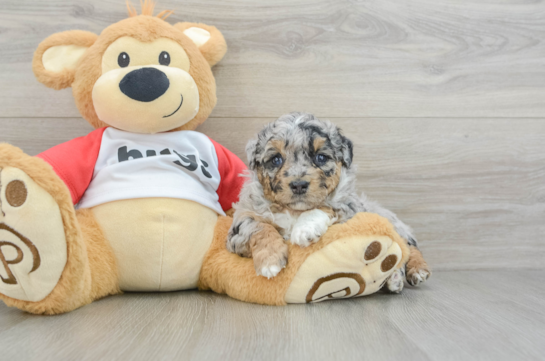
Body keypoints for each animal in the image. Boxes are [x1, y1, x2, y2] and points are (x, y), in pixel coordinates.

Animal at [225, 112, 430, 292]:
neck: (295, 211)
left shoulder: (350, 208)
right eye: (276, 159)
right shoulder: (238, 229)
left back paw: (415, 271)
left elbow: (325, 206)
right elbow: (258, 226)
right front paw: (270, 260)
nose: (299, 184)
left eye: (320, 157)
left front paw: (304, 230)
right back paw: (394, 278)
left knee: (409, 246)